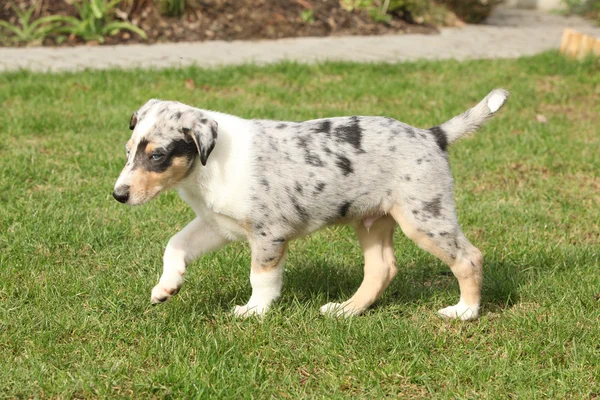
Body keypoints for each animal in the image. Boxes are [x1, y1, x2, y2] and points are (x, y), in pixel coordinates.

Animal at [111, 89, 506, 320]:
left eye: (157, 155)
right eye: (129, 151)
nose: (118, 195)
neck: (209, 166)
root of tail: (431, 135)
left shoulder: (268, 233)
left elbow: (261, 276)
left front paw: (254, 311)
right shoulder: (216, 223)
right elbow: (175, 244)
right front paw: (166, 287)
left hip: (424, 216)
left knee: (469, 257)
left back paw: (465, 311)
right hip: (372, 220)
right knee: (382, 268)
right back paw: (346, 310)